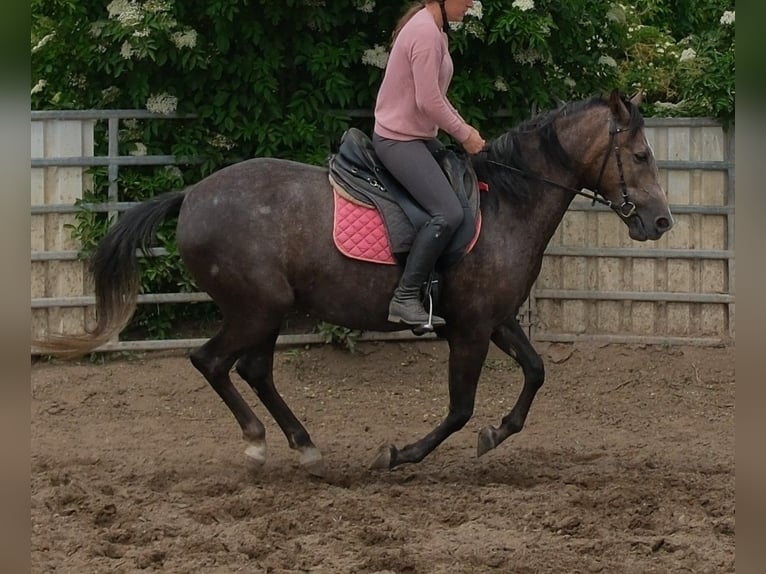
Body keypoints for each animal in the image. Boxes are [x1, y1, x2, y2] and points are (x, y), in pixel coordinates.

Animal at [35, 90, 673, 476]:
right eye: (641, 154)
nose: (661, 221)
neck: (505, 205)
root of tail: (192, 195)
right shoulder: (469, 329)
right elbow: (460, 408)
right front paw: (402, 454)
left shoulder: (496, 319)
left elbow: (536, 372)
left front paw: (499, 432)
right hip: (256, 309)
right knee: (212, 362)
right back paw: (258, 440)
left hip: (267, 313)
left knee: (253, 370)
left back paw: (302, 445)